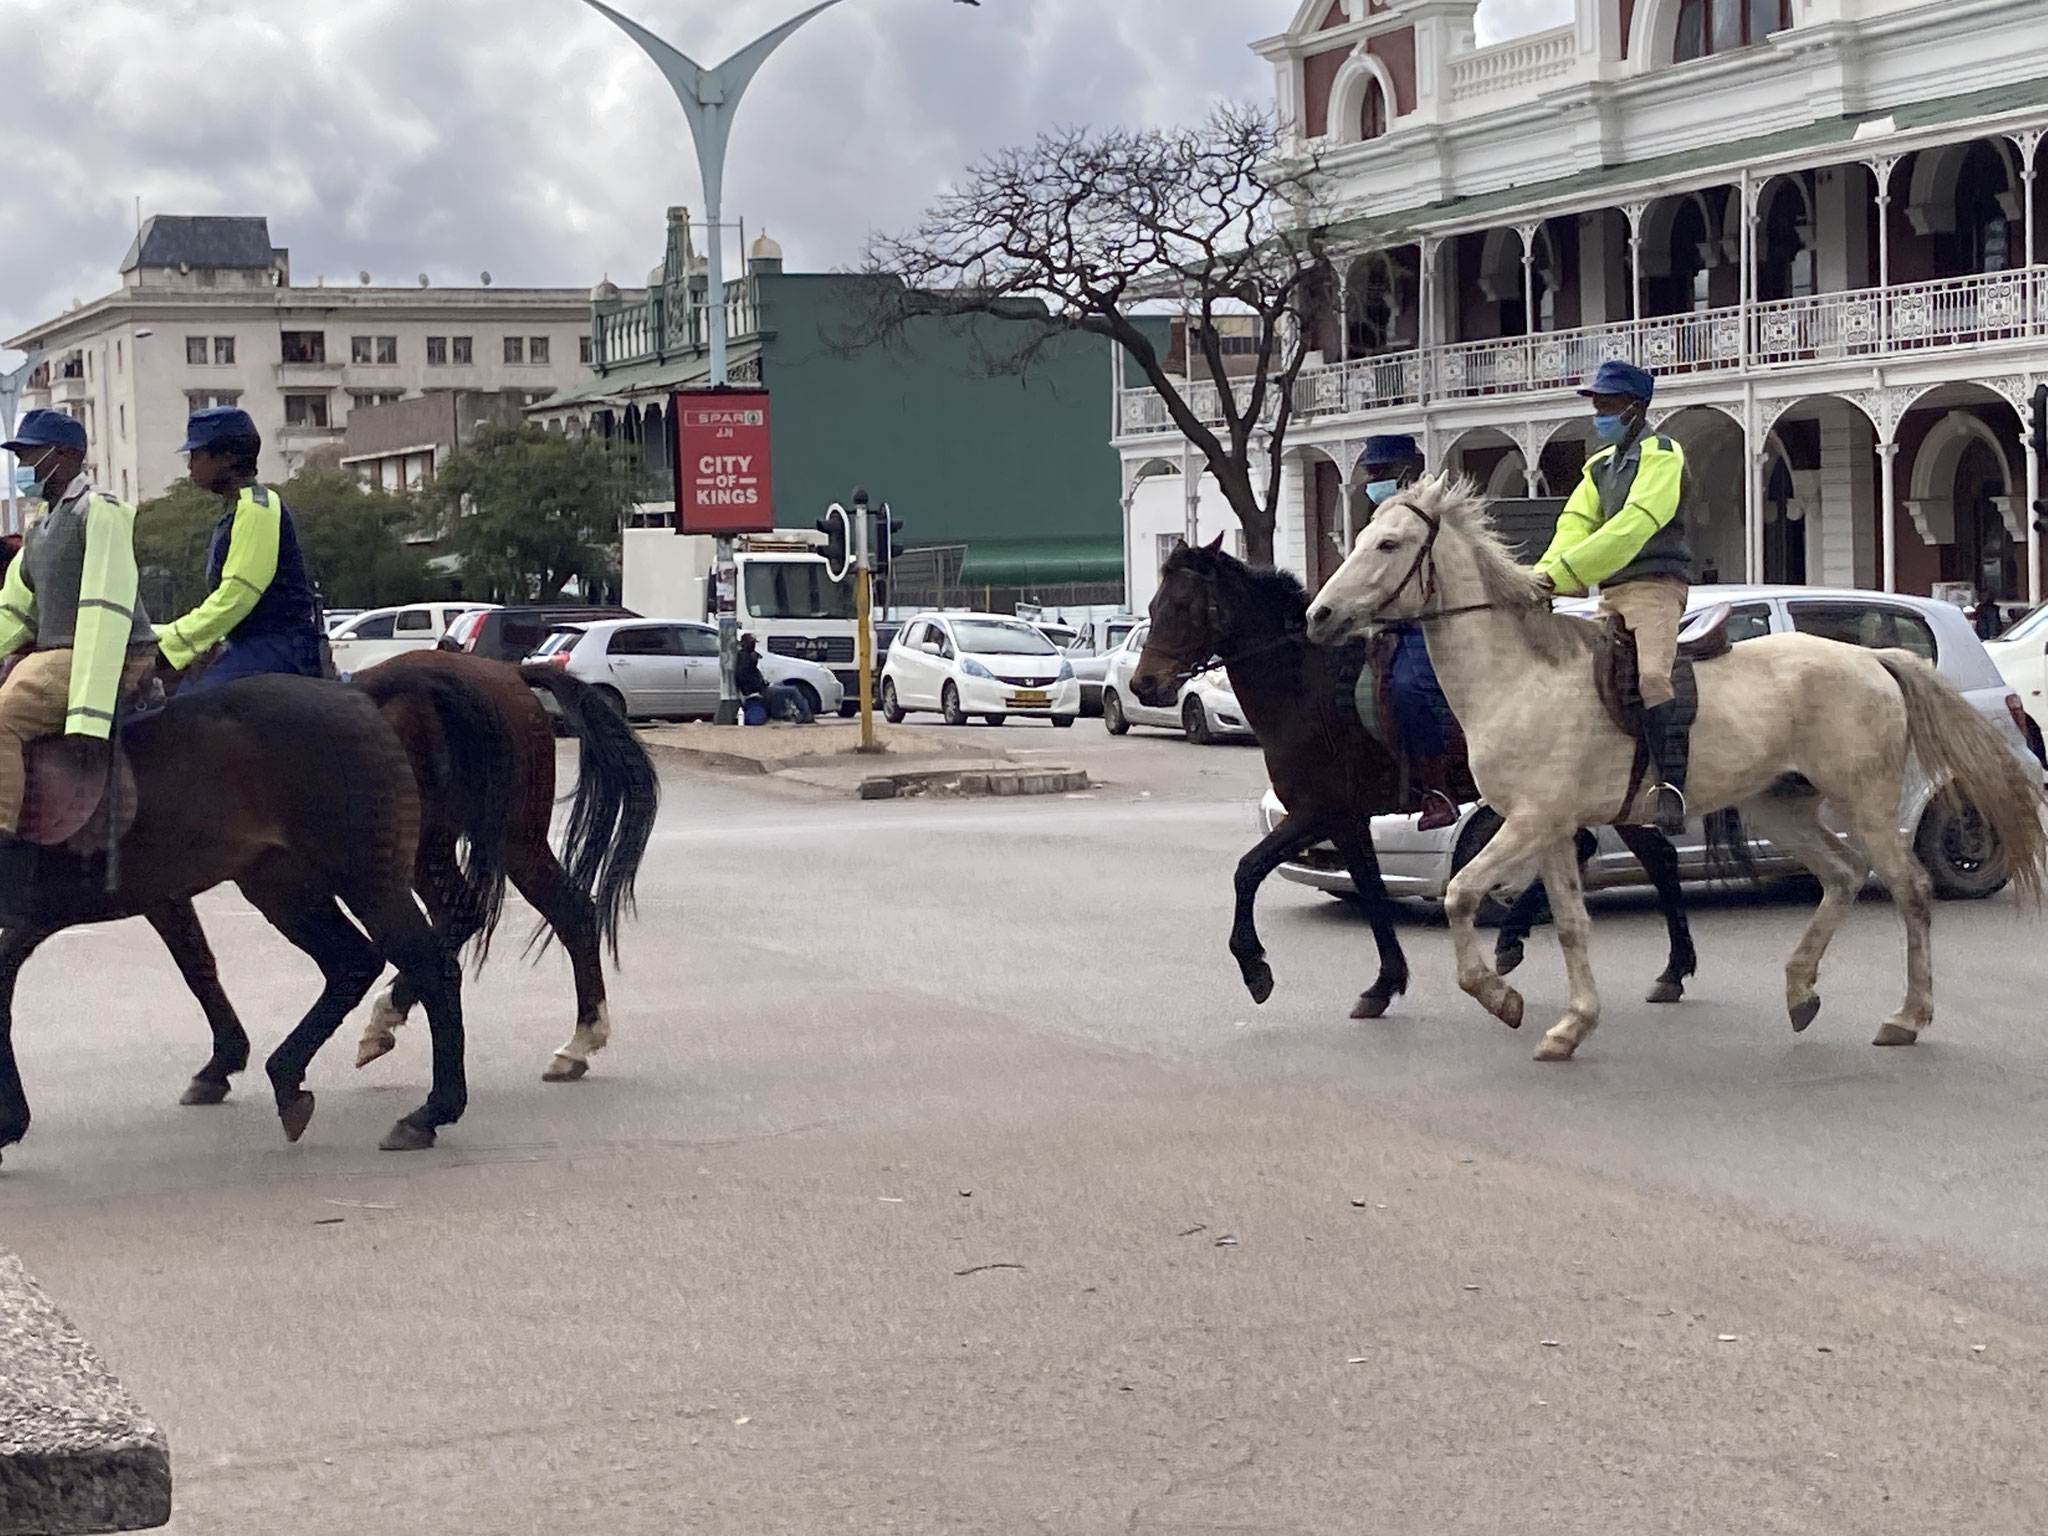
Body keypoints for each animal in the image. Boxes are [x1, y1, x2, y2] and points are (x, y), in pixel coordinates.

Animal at [0, 667, 520, 1163]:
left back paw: (429, 1111)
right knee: (352, 962)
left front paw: (10, 1122)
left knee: (429, 966)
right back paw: (289, 1077)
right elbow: (196, 966)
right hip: (282, 888)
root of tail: (356, 695)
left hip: (368, 881)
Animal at [158, 655, 659, 1114]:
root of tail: (508, 672)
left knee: (521, 912)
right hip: (479, 843)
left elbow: (195, 964)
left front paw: (220, 1064)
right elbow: (196, 961)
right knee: (520, 912)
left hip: (475, 843)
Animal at [1122, 544, 1695, 1024]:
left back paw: (1661, 965)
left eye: (1181, 607)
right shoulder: (1347, 821)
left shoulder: (1316, 812)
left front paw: (1255, 968)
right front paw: (1385, 983)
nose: (1143, 684)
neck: (1307, 684)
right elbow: (1372, 894)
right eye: (1153, 605)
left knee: (1650, 856)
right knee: (1624, 851)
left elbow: (1247, 871)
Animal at [1302, 475, 2039, 1064]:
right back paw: (1800, 989)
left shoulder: (1528, 822)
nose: (1319, 614)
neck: (1521, 678)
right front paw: (1572, 1024)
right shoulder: (1550, 829)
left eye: (1389, 544)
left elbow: (1459, 895)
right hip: (1780, 805)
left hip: (1868, 802)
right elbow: (1569, 924)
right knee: (1841, 874)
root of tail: (1875, 656)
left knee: (1910, 889)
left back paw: (1907, 1017)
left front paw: (1500, 997)